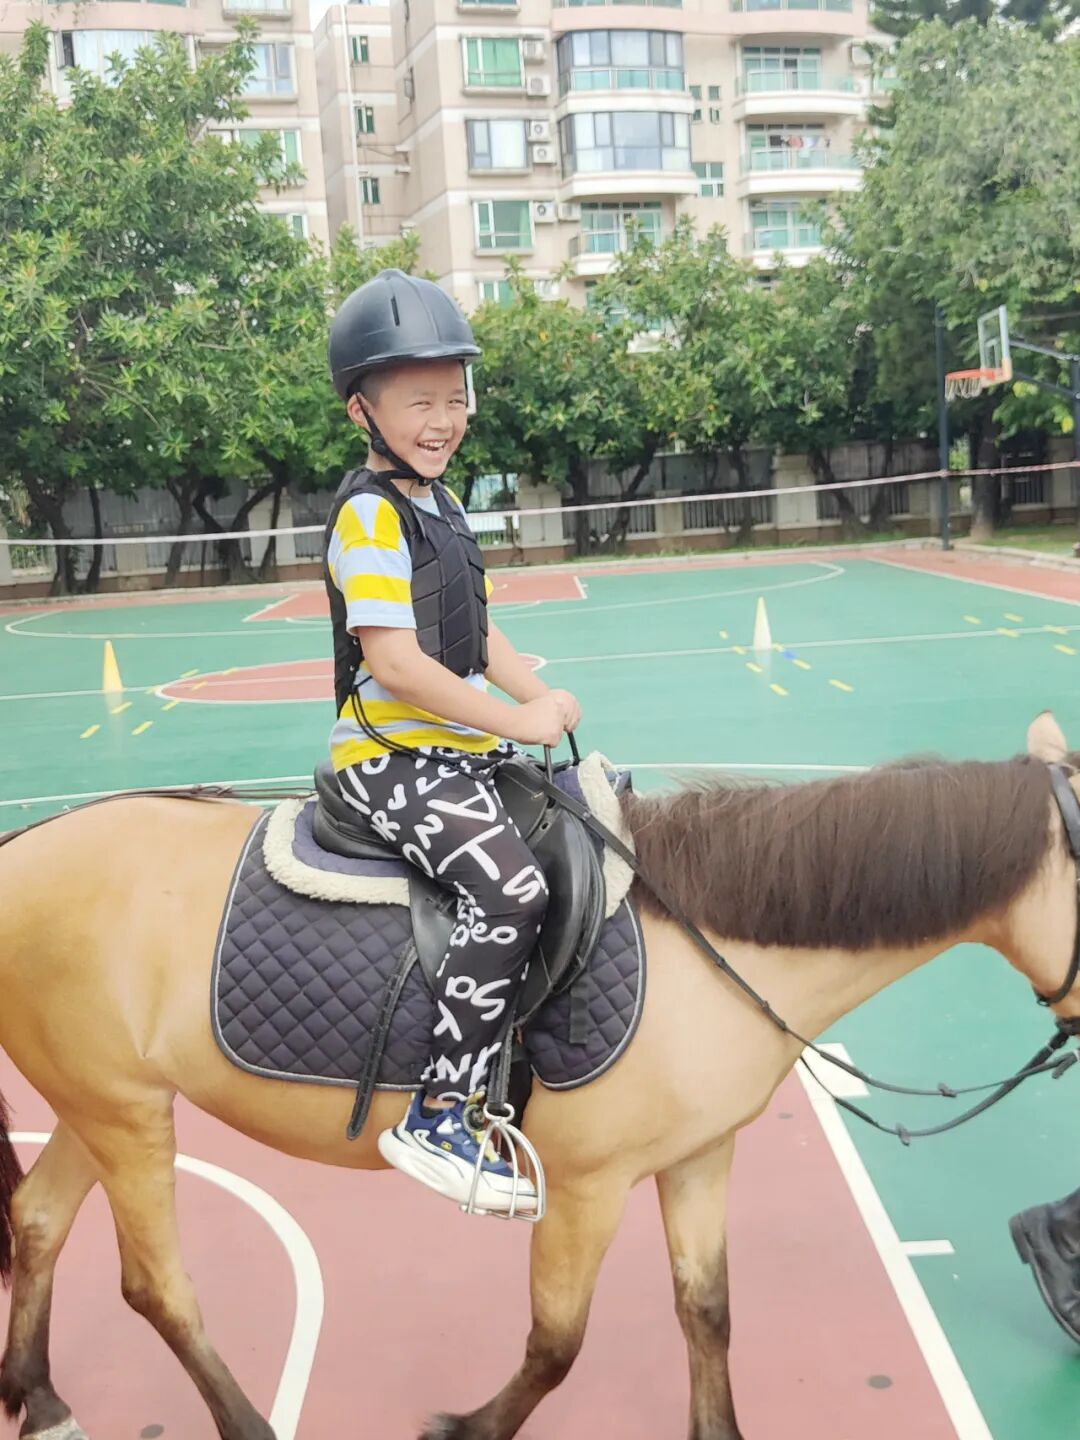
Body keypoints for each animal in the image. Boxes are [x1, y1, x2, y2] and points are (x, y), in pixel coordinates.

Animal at [2, 711, 1080, 1440]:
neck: (712, 936)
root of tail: (22, 847)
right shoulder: (588, 1187)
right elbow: (558, 1344)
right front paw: (468, 1428)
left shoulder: (700, 1158)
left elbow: (709, 1313)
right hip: (125, 1113)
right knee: (155, 1285)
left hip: (96, 1104)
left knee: (40, 1221)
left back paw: (40, 1394)